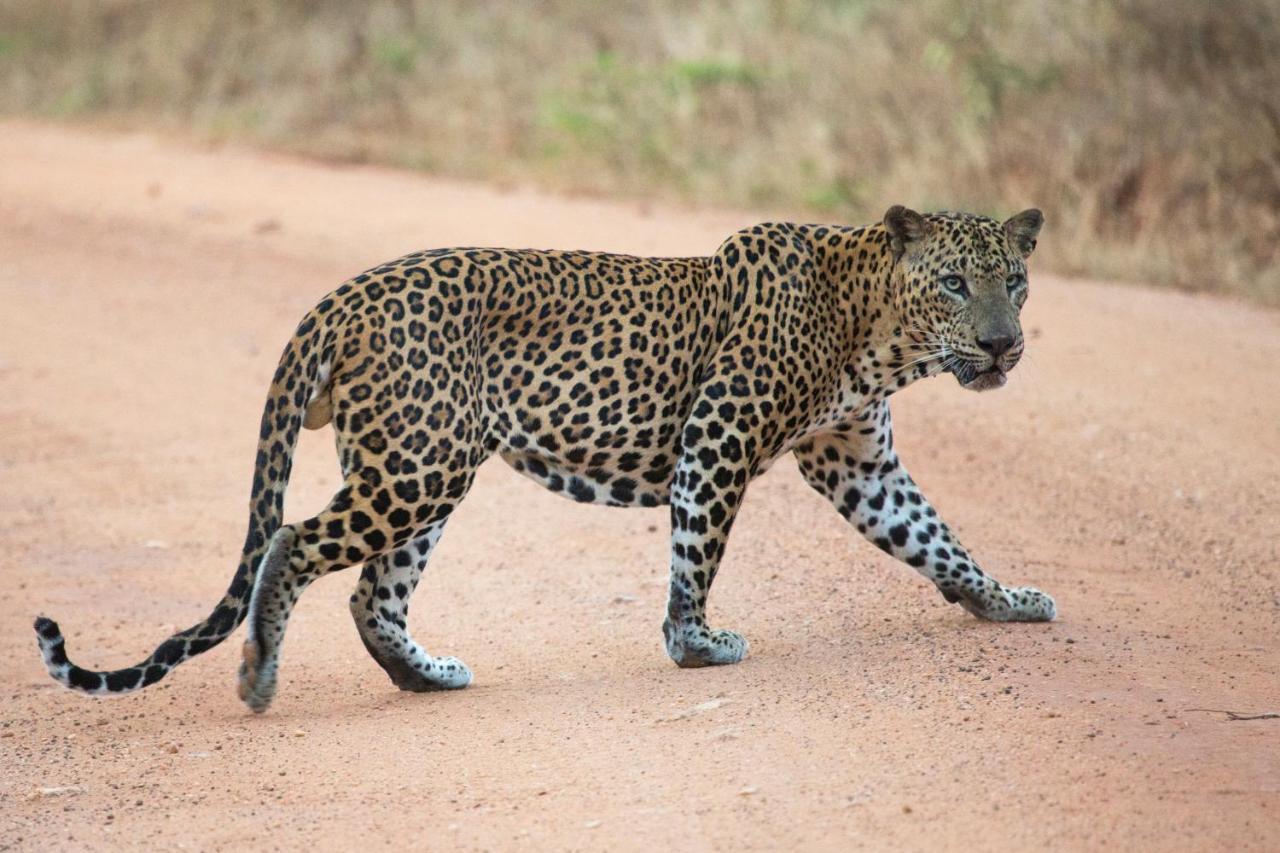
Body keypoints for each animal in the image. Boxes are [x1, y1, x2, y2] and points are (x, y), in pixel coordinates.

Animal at [32, 204, 1049, 712]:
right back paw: (259, 675)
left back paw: (425, 676)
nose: (1003, 346)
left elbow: (937, 538)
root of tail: (340, 296)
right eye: (955, 282)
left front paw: (1005, 600)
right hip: (417, 468)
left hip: (424, 467)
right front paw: (696, 642)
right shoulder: (718, 429)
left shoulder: (856, 460)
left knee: (372, 593)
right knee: (292, 543)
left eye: (1016, 280)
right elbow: (698, 544)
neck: (875, 325)